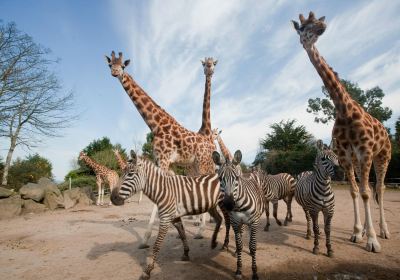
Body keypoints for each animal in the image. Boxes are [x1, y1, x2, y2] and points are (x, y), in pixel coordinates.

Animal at [106, 51, 217, 246]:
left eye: (123, 65)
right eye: (109, 64)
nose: (115, 72)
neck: (156, 125)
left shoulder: (164, 160)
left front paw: (145, 238)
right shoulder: (162, 160)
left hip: (204, 163)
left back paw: (202, 229)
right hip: (195, 165)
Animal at [109, 151, 230, 280]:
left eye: (130, 174)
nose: (112, 198)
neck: (163, 190)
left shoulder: (165, 219)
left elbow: (157, 245)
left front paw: (148, 270)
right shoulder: (175, 218)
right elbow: (183, 236)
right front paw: (186, 253)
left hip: (224, 204)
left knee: (227, 221)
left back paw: (225, 245)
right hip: (211, 205)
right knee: (219, 219)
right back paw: (213, 242)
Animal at [212, 151, 266, 280]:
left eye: (236, 178)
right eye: (220, 179)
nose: (229, 204)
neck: (239, 205)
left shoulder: (254, 222)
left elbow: (253, 245)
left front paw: (255, 272)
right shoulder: (236, 222)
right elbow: (240, 244)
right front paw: (239, 270)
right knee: (237, 231)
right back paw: (235, 251)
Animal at [292, 10, 392, 253]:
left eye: (317, 21)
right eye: (304, 29)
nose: (322, 27)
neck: (345, 111)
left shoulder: (365, 152)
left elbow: (366, 192)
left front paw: (372, 241)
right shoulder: (347, 156)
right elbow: (356, 191)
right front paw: (357, 233)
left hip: (382, 156)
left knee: (380, 188)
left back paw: (383, 231)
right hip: (359, 160)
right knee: (368, 188)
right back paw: (365, 230)